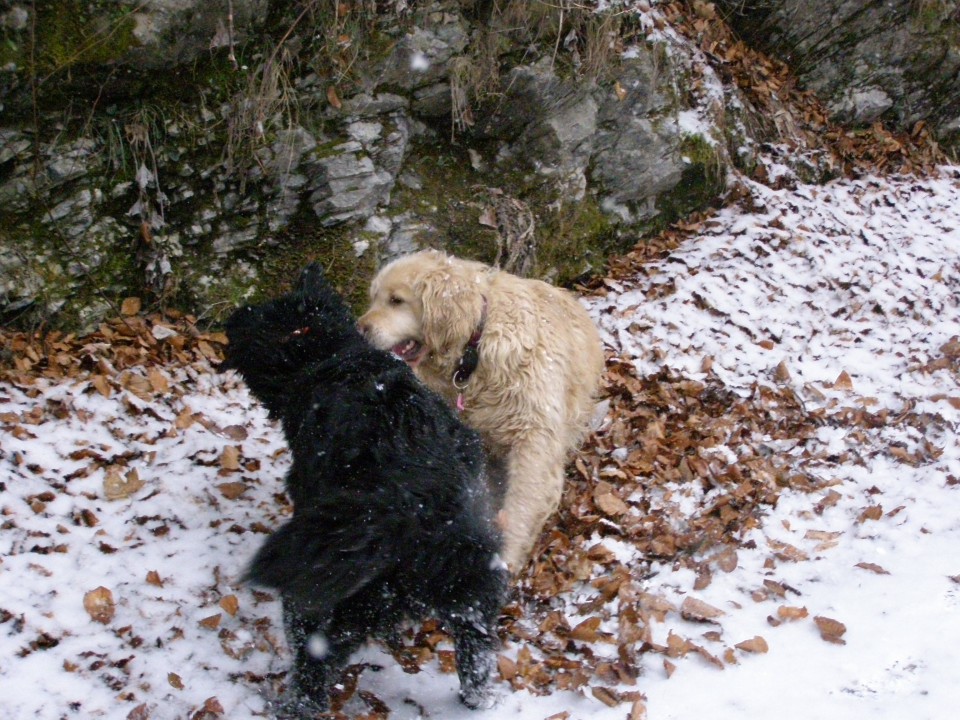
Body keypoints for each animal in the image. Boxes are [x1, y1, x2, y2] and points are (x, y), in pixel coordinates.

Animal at [223, 264, 510, 716]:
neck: (331, 353)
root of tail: (418, 509)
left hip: (328, 594)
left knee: (314, 665)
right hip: (474, 590)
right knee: (477, 660)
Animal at [356, 250, 604, 572]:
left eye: (396, 300)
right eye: (373, 298)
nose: (359, 328)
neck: (473, 351)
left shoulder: (535, 435)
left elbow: (524, 499)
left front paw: (505, 558)